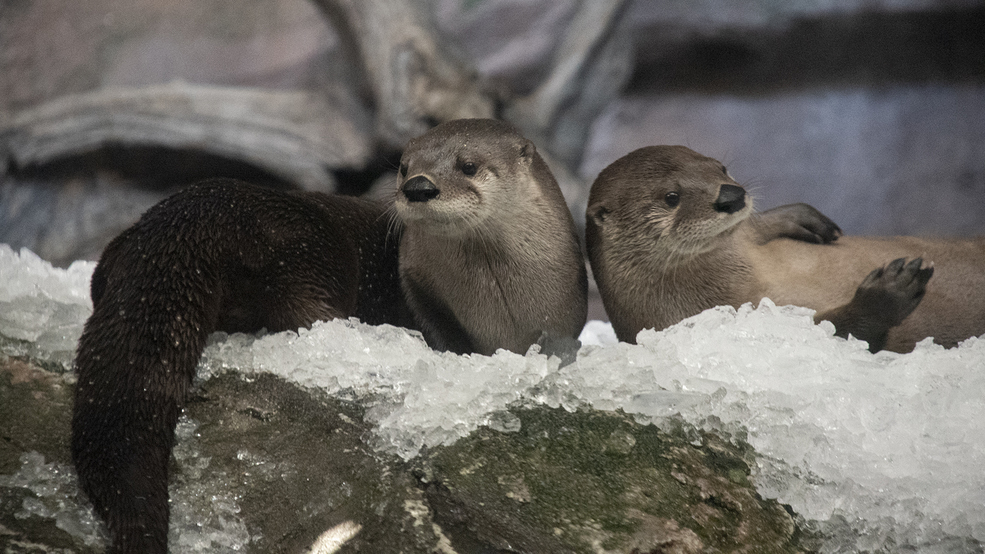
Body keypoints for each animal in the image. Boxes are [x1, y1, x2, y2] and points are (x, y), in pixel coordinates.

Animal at [586, 145, 983, 353]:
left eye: (721, 168)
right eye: (671, 197)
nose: (732, 195)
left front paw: (803, 217)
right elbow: (830, 331)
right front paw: (889, 291)